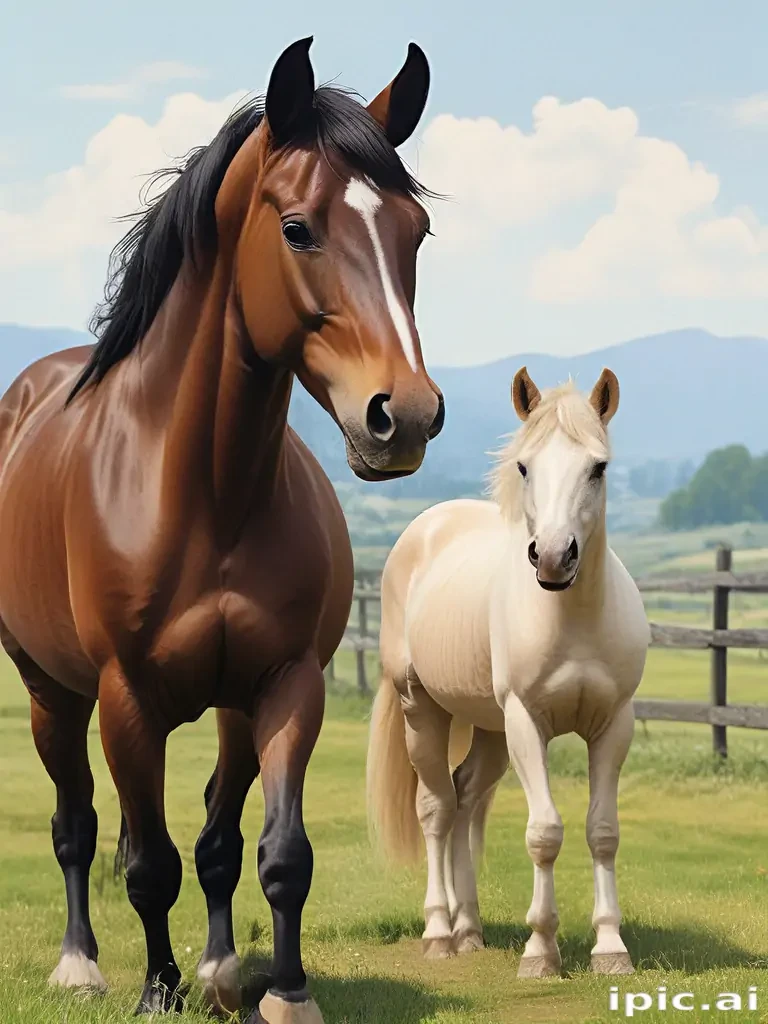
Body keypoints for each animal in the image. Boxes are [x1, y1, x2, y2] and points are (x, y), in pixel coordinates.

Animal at [0, 37, 444, 1024]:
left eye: (416, 232)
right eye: (299, 229)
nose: (405, 416)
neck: (207, 497)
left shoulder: (285, 687)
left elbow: (273, 853)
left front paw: (282, 991)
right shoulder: (126, 700)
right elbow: (147, 862)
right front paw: (156, 991)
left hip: (230, 710)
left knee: (213, 831)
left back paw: (218, 965)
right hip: (52, 692)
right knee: (80, 824)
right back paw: (83, 964)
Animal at [367, 367, 650, 980]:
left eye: (598, 467)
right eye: (524, 466)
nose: (554, 557)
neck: (572, 618)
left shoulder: (613, 726)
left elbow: (603, 832)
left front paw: (609, 947)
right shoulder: (527, 723)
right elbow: (544, 833)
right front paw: (540, 950)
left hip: (490, 730)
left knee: (466, 799)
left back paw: (469, 929)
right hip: (424, 710)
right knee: (436, 810)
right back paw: (439, 932)